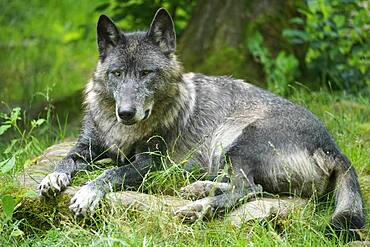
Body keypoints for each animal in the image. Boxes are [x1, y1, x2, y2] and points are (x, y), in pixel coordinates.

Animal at [38, 8, 364, 239]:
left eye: (146, 73)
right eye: (117, 73)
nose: (126, 113)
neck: (123, 130)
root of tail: (334, 148)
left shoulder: (149, 163)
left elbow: (111, 173)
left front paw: (86, 193)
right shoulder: (86, 147)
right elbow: (66, 160)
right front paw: (53, 178)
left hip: (238, 138)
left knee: (248, 189)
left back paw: (196, 208)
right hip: (226, 153)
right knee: (251, 187)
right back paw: (197, 189)